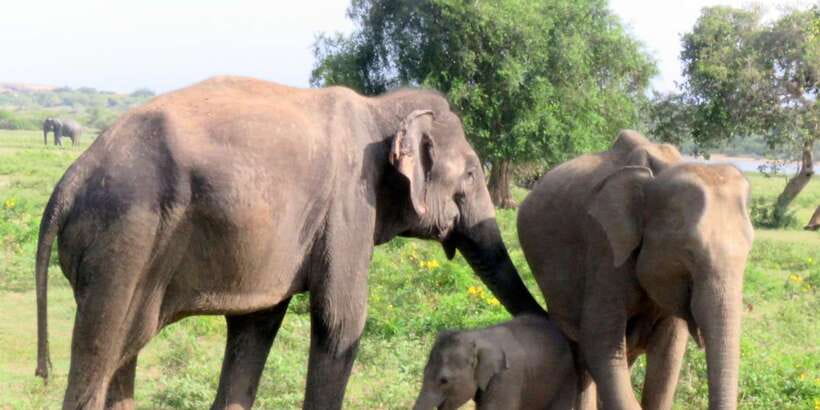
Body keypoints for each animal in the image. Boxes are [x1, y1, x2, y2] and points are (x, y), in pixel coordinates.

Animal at [34, 76, 545, 410]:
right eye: (472, 174)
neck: (380, 107)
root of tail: (70, 180)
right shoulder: (349, 204)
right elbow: (341, 320)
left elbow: (255, 327)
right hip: (123, 241)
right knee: (100, 355)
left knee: (123, 356)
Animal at [517, 130, 754, 410]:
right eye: (688, 252)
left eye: (749, 250)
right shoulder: (604, 246)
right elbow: (600, 343)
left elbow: (668, 356)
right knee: (581, 351)